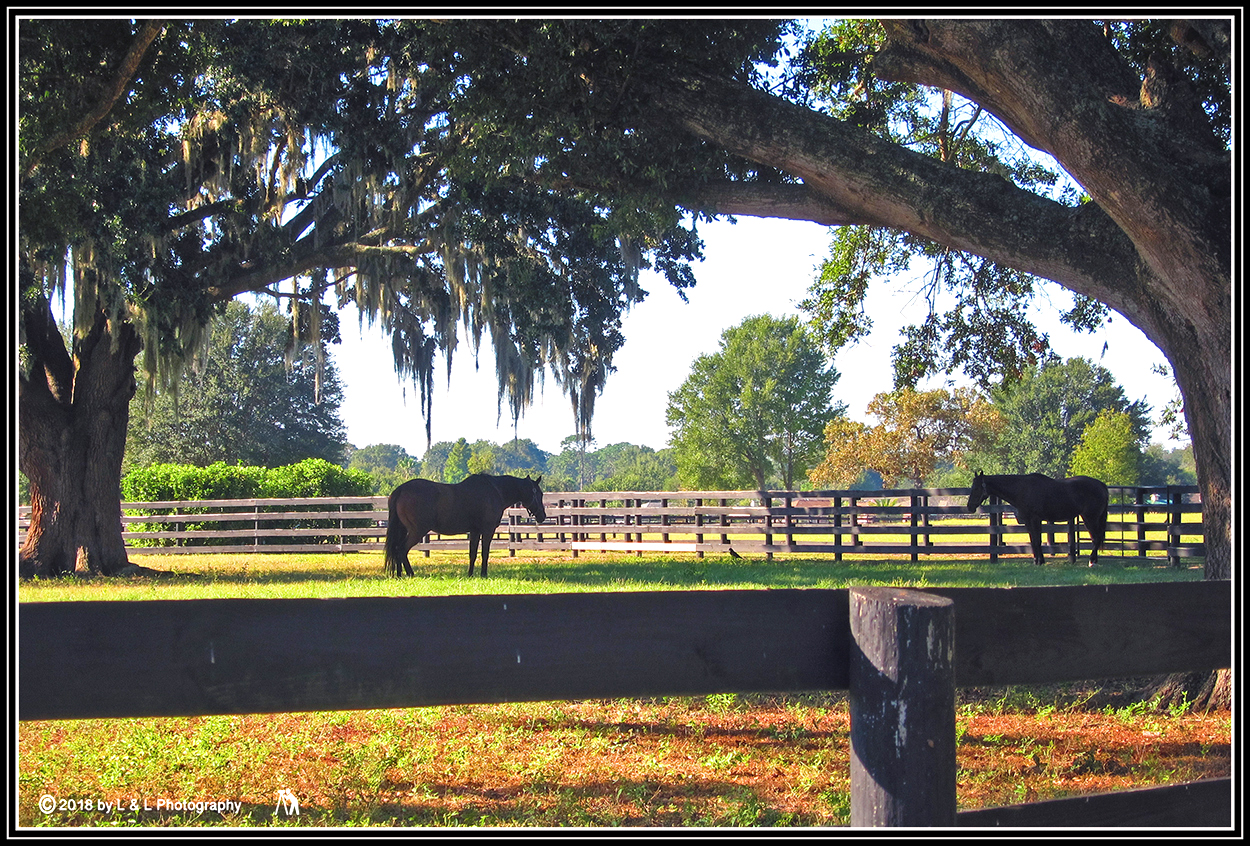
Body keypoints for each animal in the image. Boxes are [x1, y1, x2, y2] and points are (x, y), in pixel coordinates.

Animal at [384, 474, 547, 578]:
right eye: (539, 493)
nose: (542, 516)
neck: (496, 490)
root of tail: (401, 489)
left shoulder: (474, 531)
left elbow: (472, 553)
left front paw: (470, 574)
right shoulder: (487, 530)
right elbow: (485, 553)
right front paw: (483, 574)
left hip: (405, 530)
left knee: (397, 549)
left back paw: (399, 575)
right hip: (417, 531)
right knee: (402, 549)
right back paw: (410, 574)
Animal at [967, 471, 1109, 567]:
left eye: (976, 488)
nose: (969, 507)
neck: (1022, 490)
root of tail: (1101, 485)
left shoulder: (1035, 520)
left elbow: (1037, 541)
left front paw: (1040, 561)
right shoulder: (1029, 522)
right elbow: (1034, 541)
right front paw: (1037, 561)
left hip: (1090, 518)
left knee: (1096, 538)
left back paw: (1092, 561)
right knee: (1095, 539)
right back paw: (1094, 560)